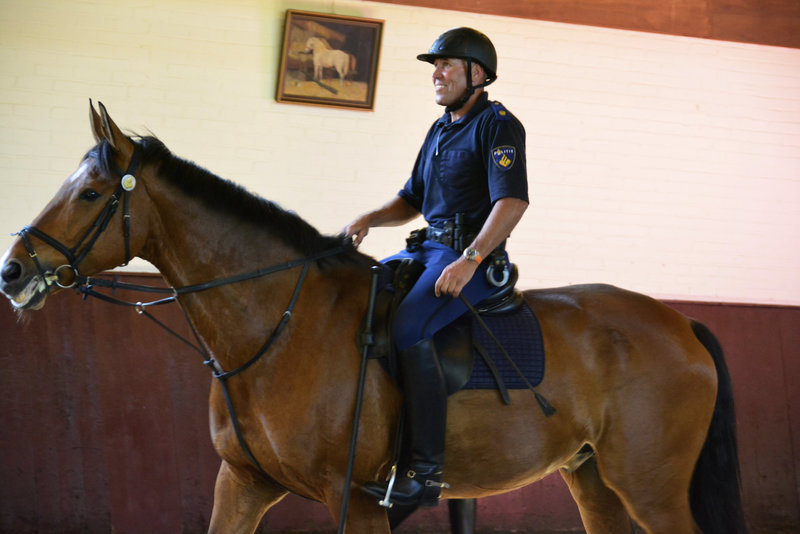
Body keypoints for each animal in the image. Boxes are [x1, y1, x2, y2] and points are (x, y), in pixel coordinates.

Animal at [3, 104, 748, 534]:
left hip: (651, 488)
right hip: (594, 480)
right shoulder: (241, 484)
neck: (280, 324)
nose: (12, 272)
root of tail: (680, 325)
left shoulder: (352, 500)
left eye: (90, 193)